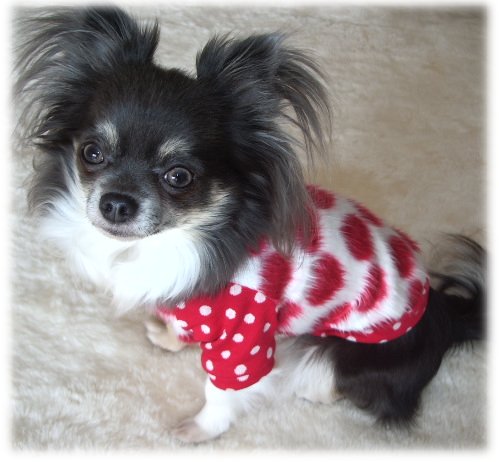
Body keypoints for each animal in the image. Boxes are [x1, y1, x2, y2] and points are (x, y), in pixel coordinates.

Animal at [15, 7, 485, 443]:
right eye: (92, 153)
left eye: (179, 176)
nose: (115, 202)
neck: (176, 239)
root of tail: (445, 314)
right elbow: (183, 325)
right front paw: (169, 337)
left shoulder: (246, 335)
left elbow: (222, 390)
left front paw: (200, 430)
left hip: (346, 354)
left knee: (342, 381)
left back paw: (311, 388)